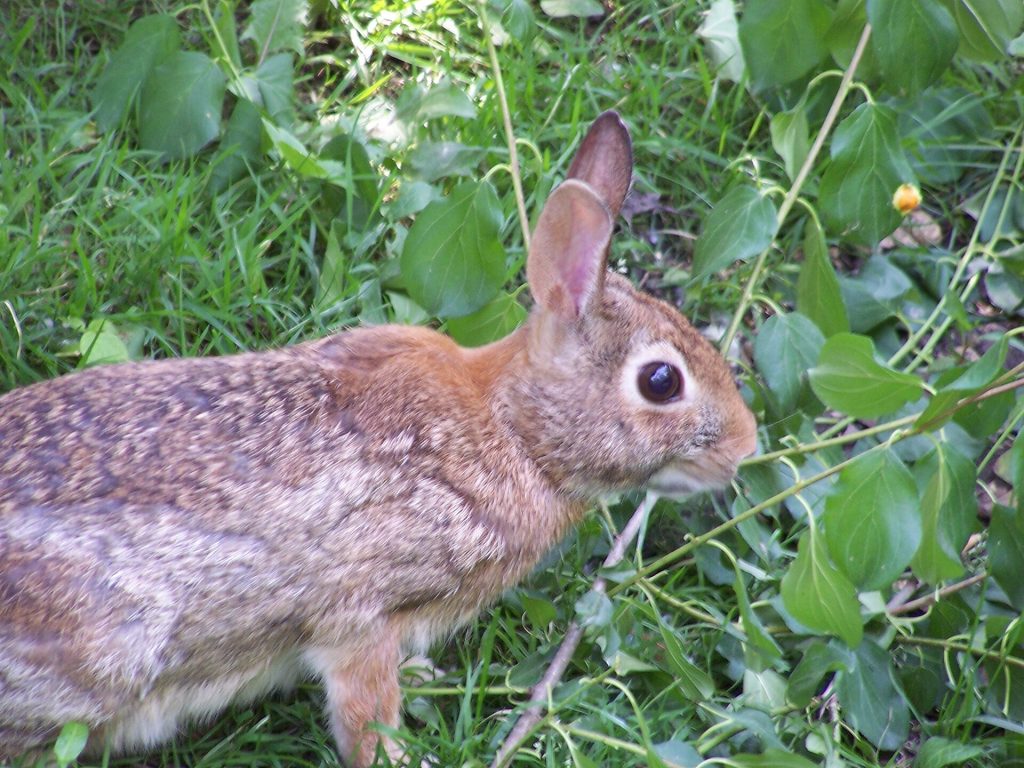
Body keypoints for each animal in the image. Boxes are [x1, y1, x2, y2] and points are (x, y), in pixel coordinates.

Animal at [0, 111, 757, 767]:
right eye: (661, 381)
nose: (745, 448)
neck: (515, 431)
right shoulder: (363, 615)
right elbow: (364, 708)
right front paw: (401, 756)